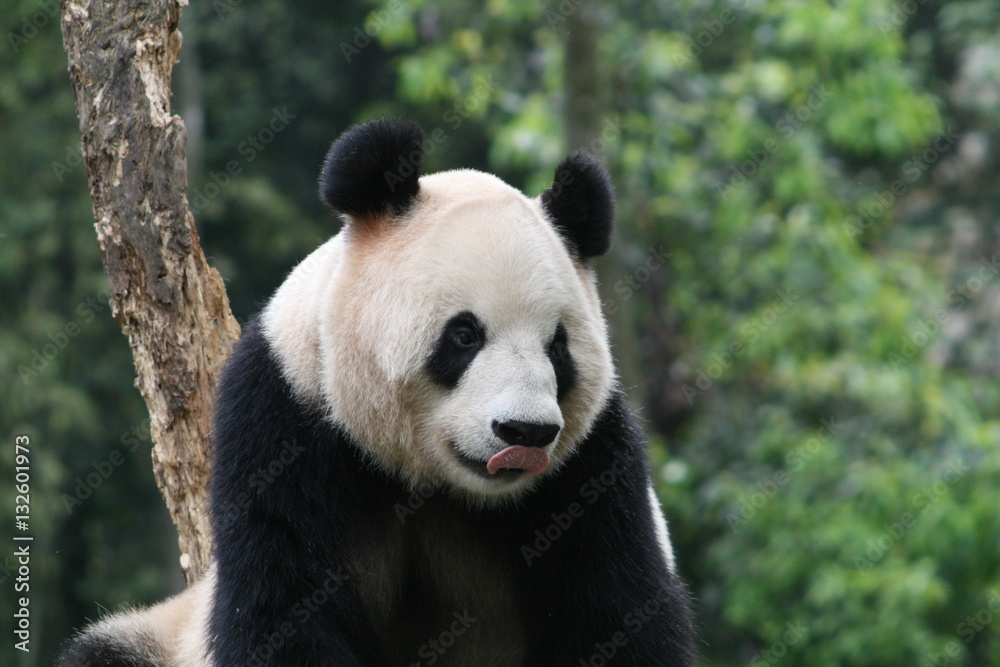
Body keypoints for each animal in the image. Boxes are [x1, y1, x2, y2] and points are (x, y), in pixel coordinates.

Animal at [60, 118, 694, 666]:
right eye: (464, 335)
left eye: (557, 348)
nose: (525, 432)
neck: (431, 481)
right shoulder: (287, 413)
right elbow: (283, 607)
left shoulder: (592, 467)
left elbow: (614, 608)